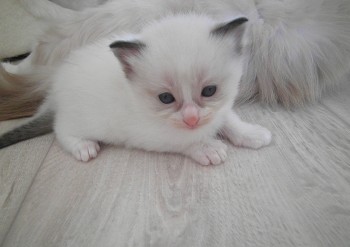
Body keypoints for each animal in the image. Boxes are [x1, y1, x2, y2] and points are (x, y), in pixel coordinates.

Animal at [0, 14, 270, 166]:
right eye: (166, 98)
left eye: (209, 91)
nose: (191, 119)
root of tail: (55, 87)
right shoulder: (150, 134)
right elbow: (185, 142)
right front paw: (208, 148)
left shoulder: (219, 108)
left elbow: (229, 119)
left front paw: (251, 133)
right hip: (79, 120)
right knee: (61, 129)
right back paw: (83, 146)